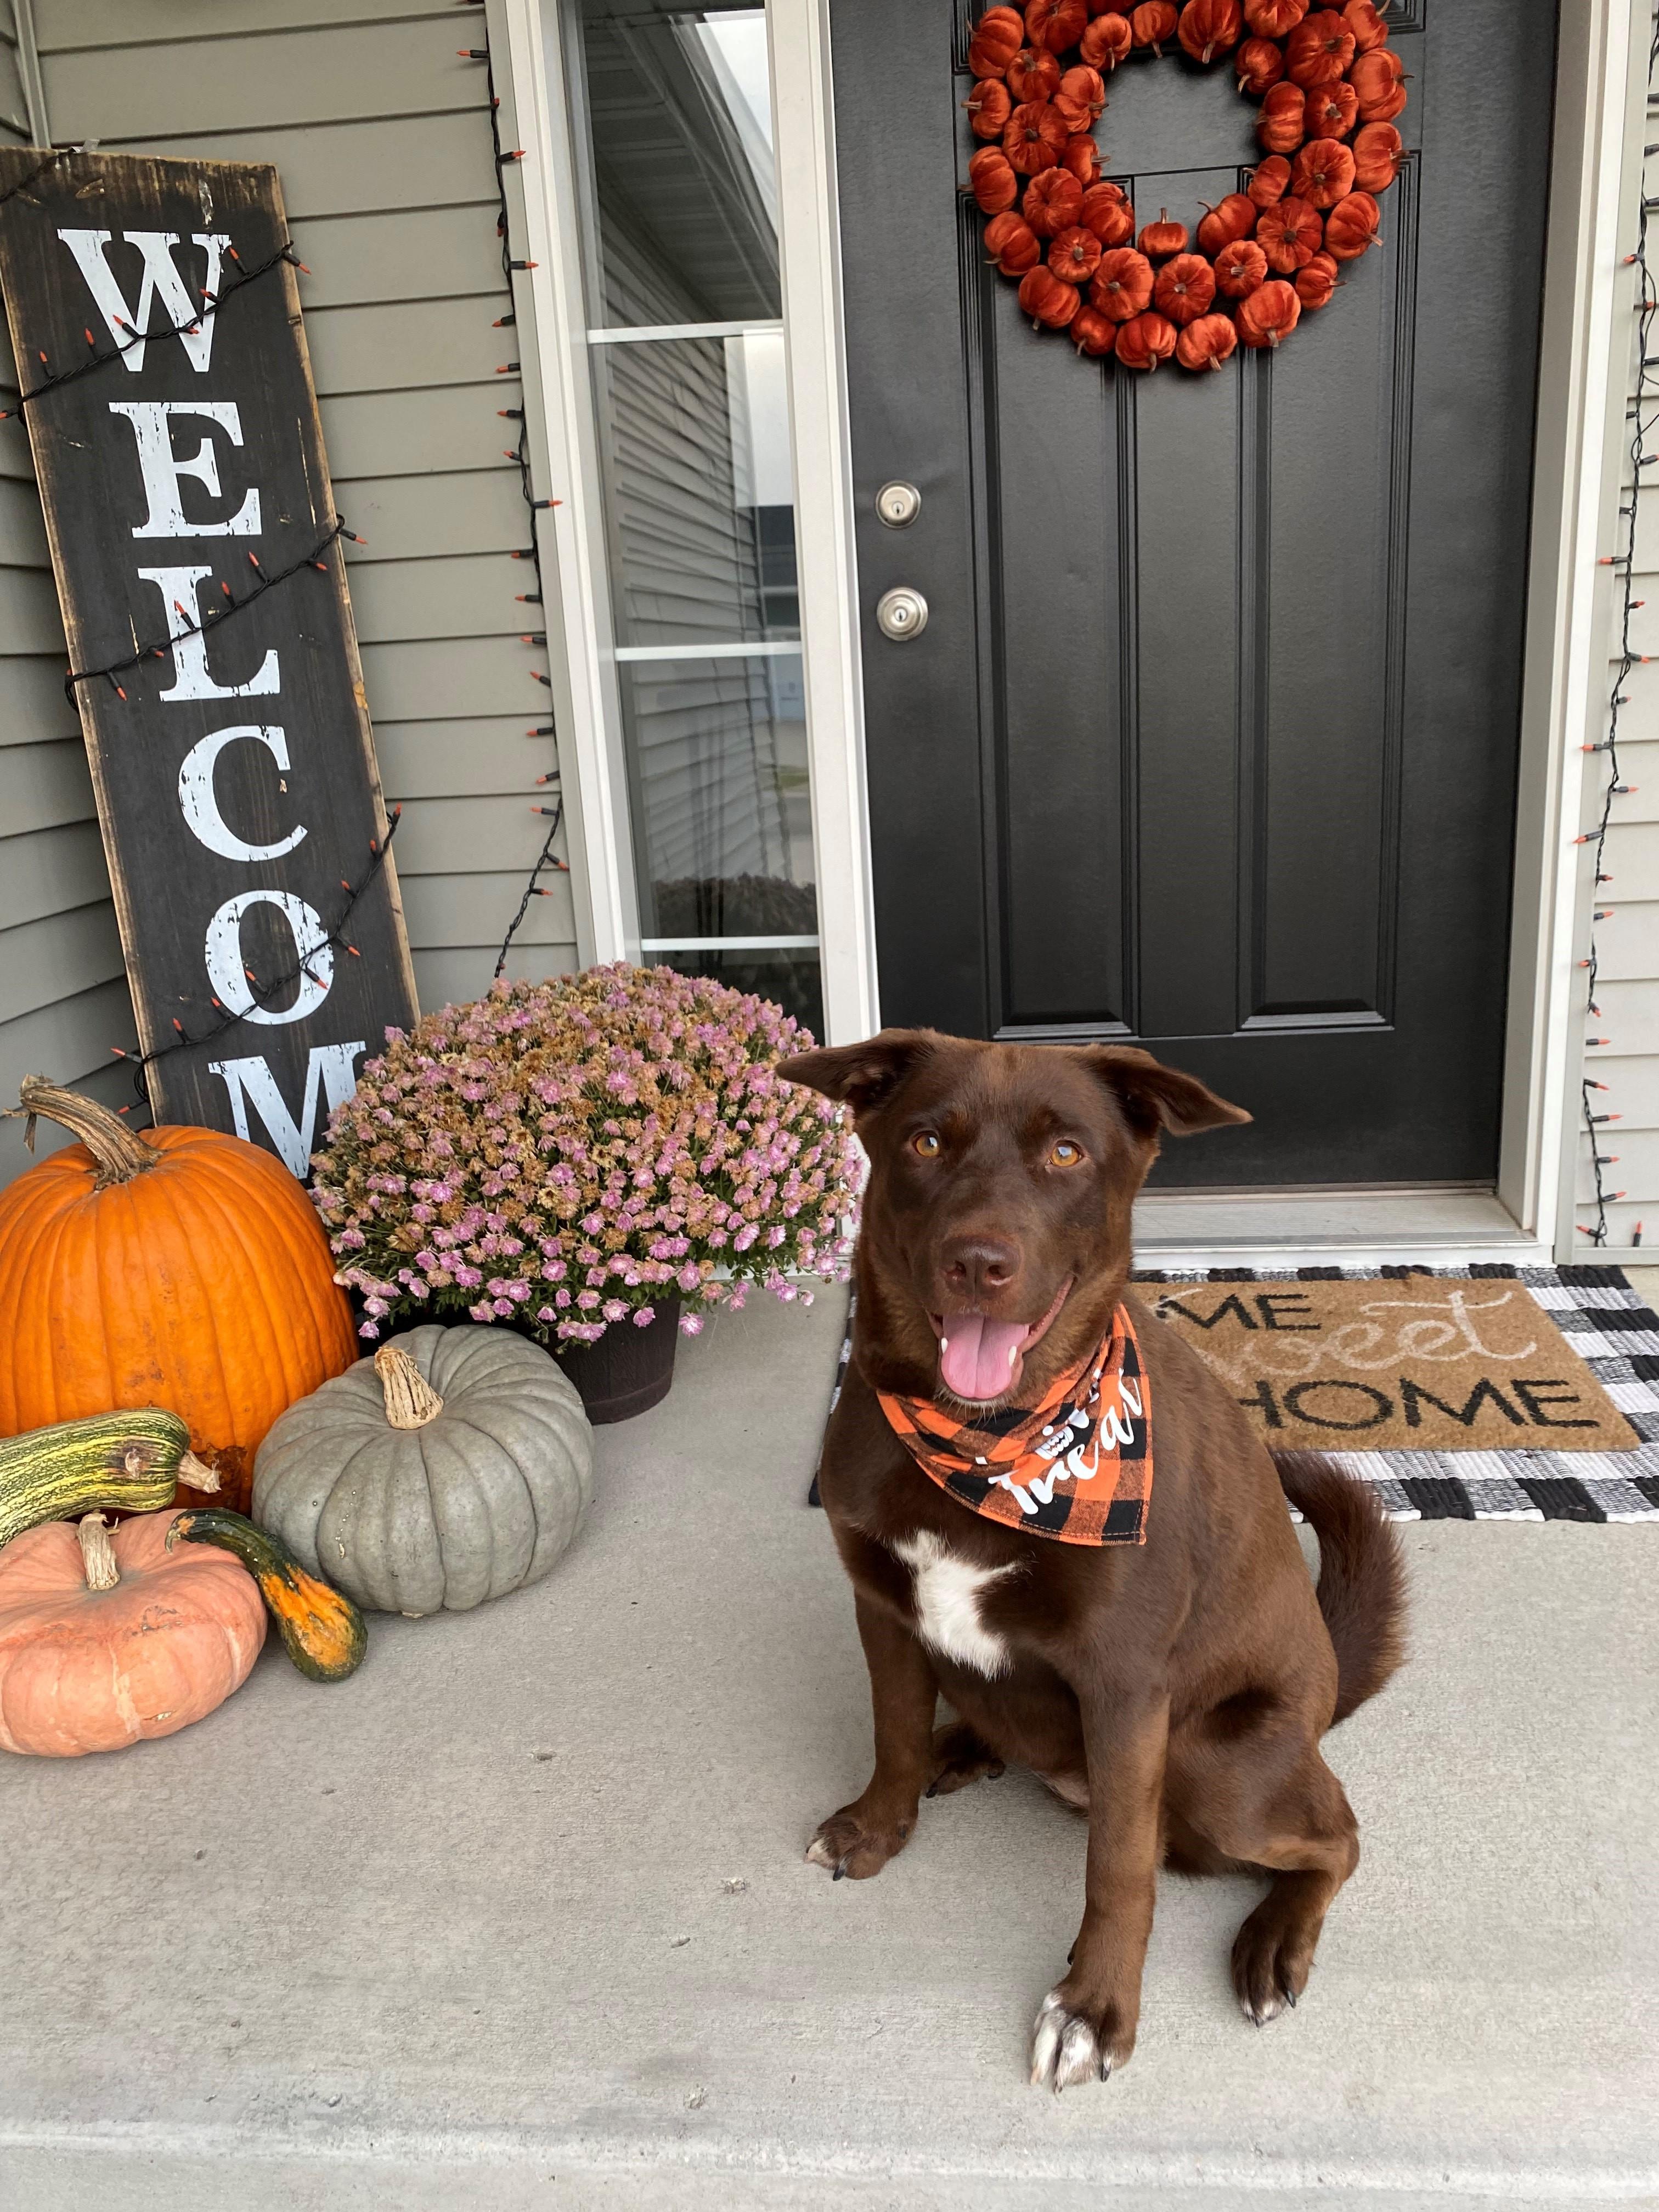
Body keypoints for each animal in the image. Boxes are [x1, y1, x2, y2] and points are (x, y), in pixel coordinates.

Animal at [787, 1030, 1407, 2088]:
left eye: (1067, 1153)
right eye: (924, 1140)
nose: (977, 1262)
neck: (992, 1444)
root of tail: (1329, 1688)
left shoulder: (1123, 1685)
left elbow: (1118, 1867)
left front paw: (1093, 2008)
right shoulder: (881, 1604)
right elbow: (893, 1731)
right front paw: (878, 1826)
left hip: (1214, 1757)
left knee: (1336, 1837)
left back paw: (1273, 1941)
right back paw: (965, 1747)